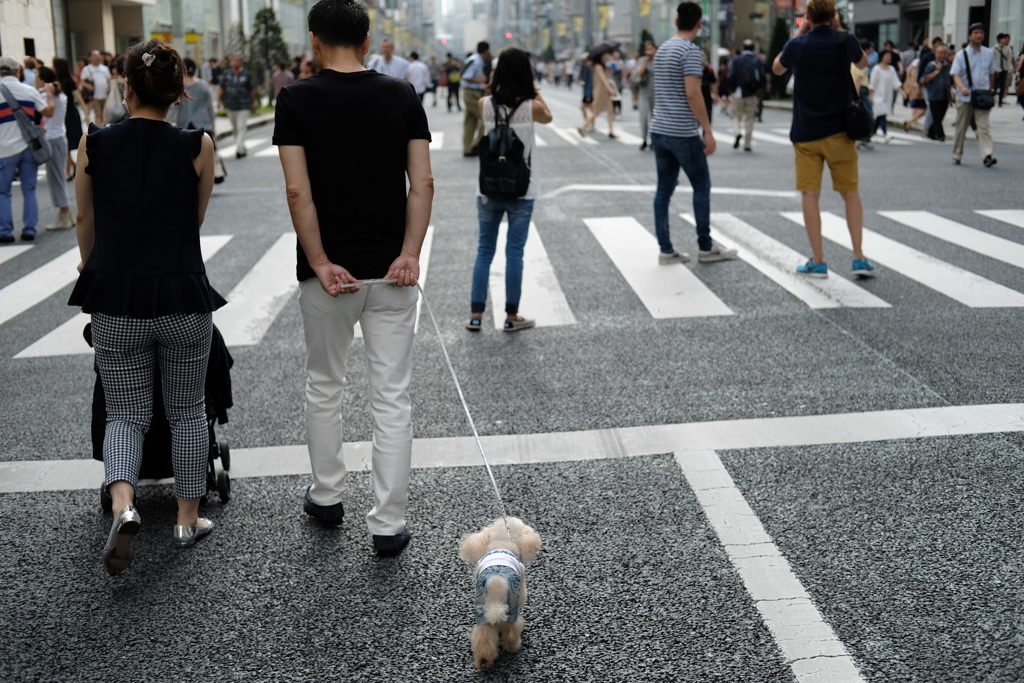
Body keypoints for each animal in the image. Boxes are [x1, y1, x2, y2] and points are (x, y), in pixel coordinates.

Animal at [458, 516, 540, 671]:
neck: (502, 542)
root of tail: (496, 582)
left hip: (482, 608)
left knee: (483, 636)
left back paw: (484, 660)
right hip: (512, 605)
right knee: (511, 631)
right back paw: (513, 646)